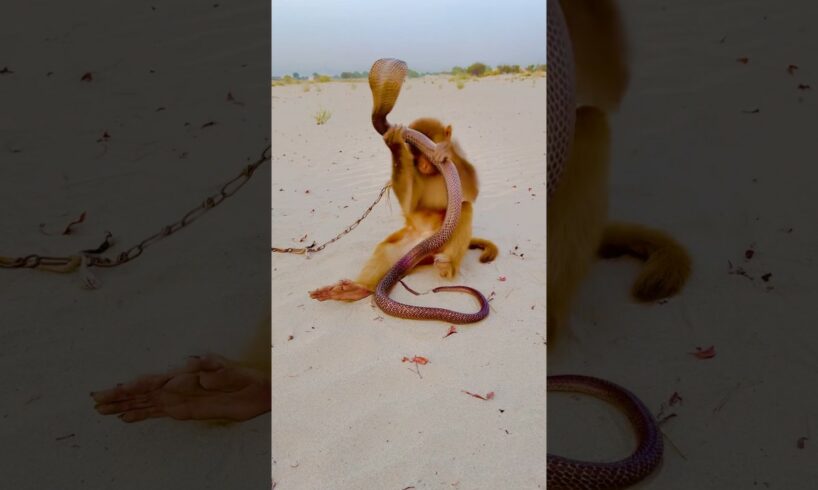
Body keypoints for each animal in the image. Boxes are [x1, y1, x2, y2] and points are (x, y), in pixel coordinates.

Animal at [309, 117, 497, 302]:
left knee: (465, 207)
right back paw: (356, 290)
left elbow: (471, 192)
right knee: (386, 250)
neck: (434, 173)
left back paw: (447, 267)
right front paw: (394, 142)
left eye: (427, 153)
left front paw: (446, 150)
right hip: (406, 252)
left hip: (437, 250)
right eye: (415, 153)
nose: (423, 164)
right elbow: (410, 204)